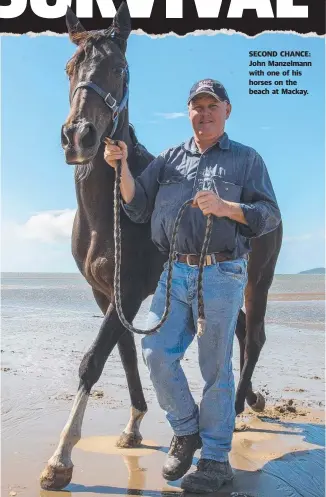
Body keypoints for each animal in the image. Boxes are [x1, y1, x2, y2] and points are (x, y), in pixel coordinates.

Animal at [38, 0, 282, 488]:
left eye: (119, 68)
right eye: (70, 68)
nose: (78, 136)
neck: (107, 213)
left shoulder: (130, 289)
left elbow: (94, 358)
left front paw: (61, 458)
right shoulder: (105, 293)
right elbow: (127, 354)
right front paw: (133, 426)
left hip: (257, 280)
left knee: (255, 334)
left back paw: (240, 410)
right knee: (242, 330)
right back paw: (251, 401)